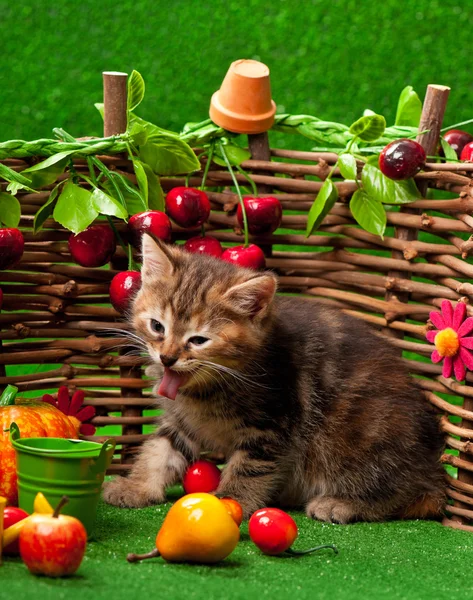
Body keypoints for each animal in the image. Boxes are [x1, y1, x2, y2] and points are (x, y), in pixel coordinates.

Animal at [101, 232, 444, 524]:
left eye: (198, 340)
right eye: (157, 326)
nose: (167, 358)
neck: (207, 388)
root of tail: (431, 463)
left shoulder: (271, 426)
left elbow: (248, 469)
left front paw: (228, 503)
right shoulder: (181, 420)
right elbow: (160, 450)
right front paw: (137, 486)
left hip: (363, 437)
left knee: (412, 495)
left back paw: (343, 504)